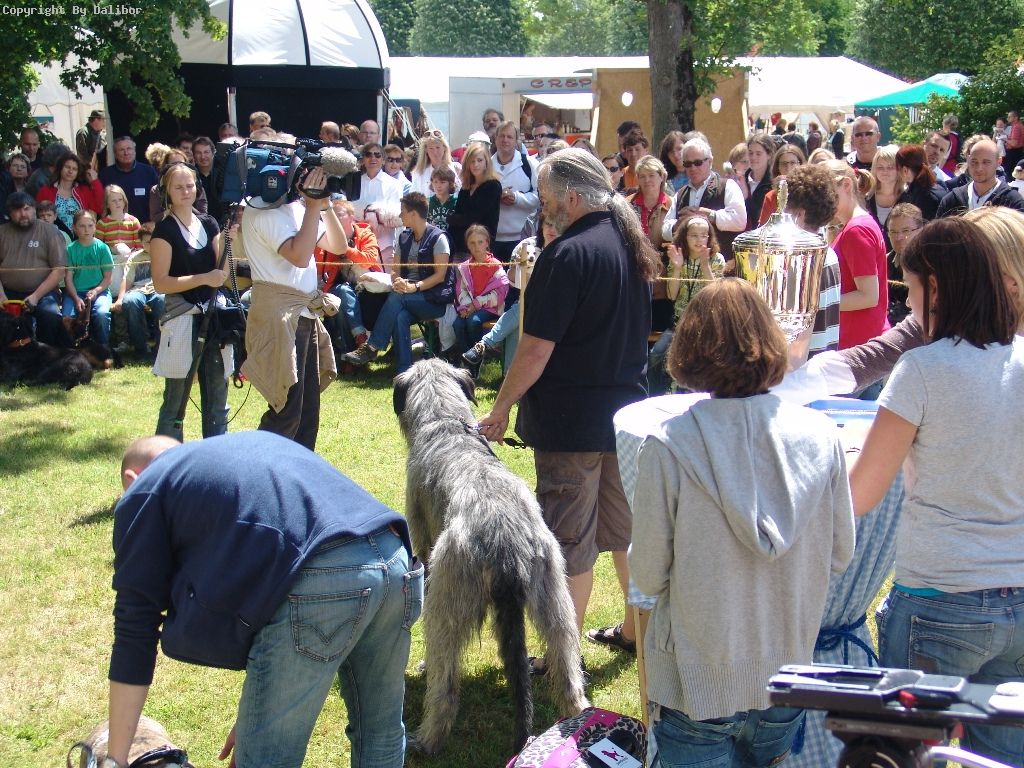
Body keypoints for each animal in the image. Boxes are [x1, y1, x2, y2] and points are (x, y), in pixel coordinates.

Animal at [393, 359, 589, 754]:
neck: (447, 422)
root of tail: (506, 544)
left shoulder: (422, 540)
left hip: (447, 597)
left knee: (446, 683)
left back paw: (427, 737)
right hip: (554, 596)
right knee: (567, 669)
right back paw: (578, 713)